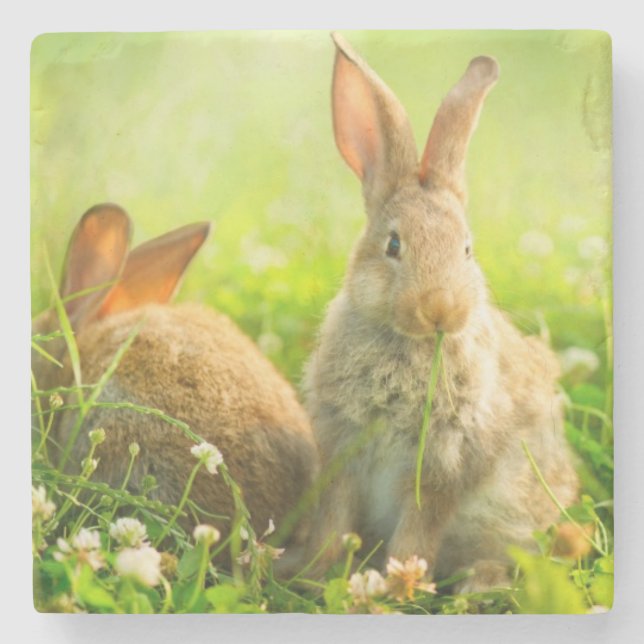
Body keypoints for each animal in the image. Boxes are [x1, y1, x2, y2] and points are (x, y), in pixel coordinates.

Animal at [303, 33, 578, 591]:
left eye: (467, 249)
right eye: (393, 245)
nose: (440, 308)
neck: (409, 345)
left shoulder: (445, 466)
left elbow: (417, 532)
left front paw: (398, 585)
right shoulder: (341, 449)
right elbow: (334, 519)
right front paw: (318, 574)